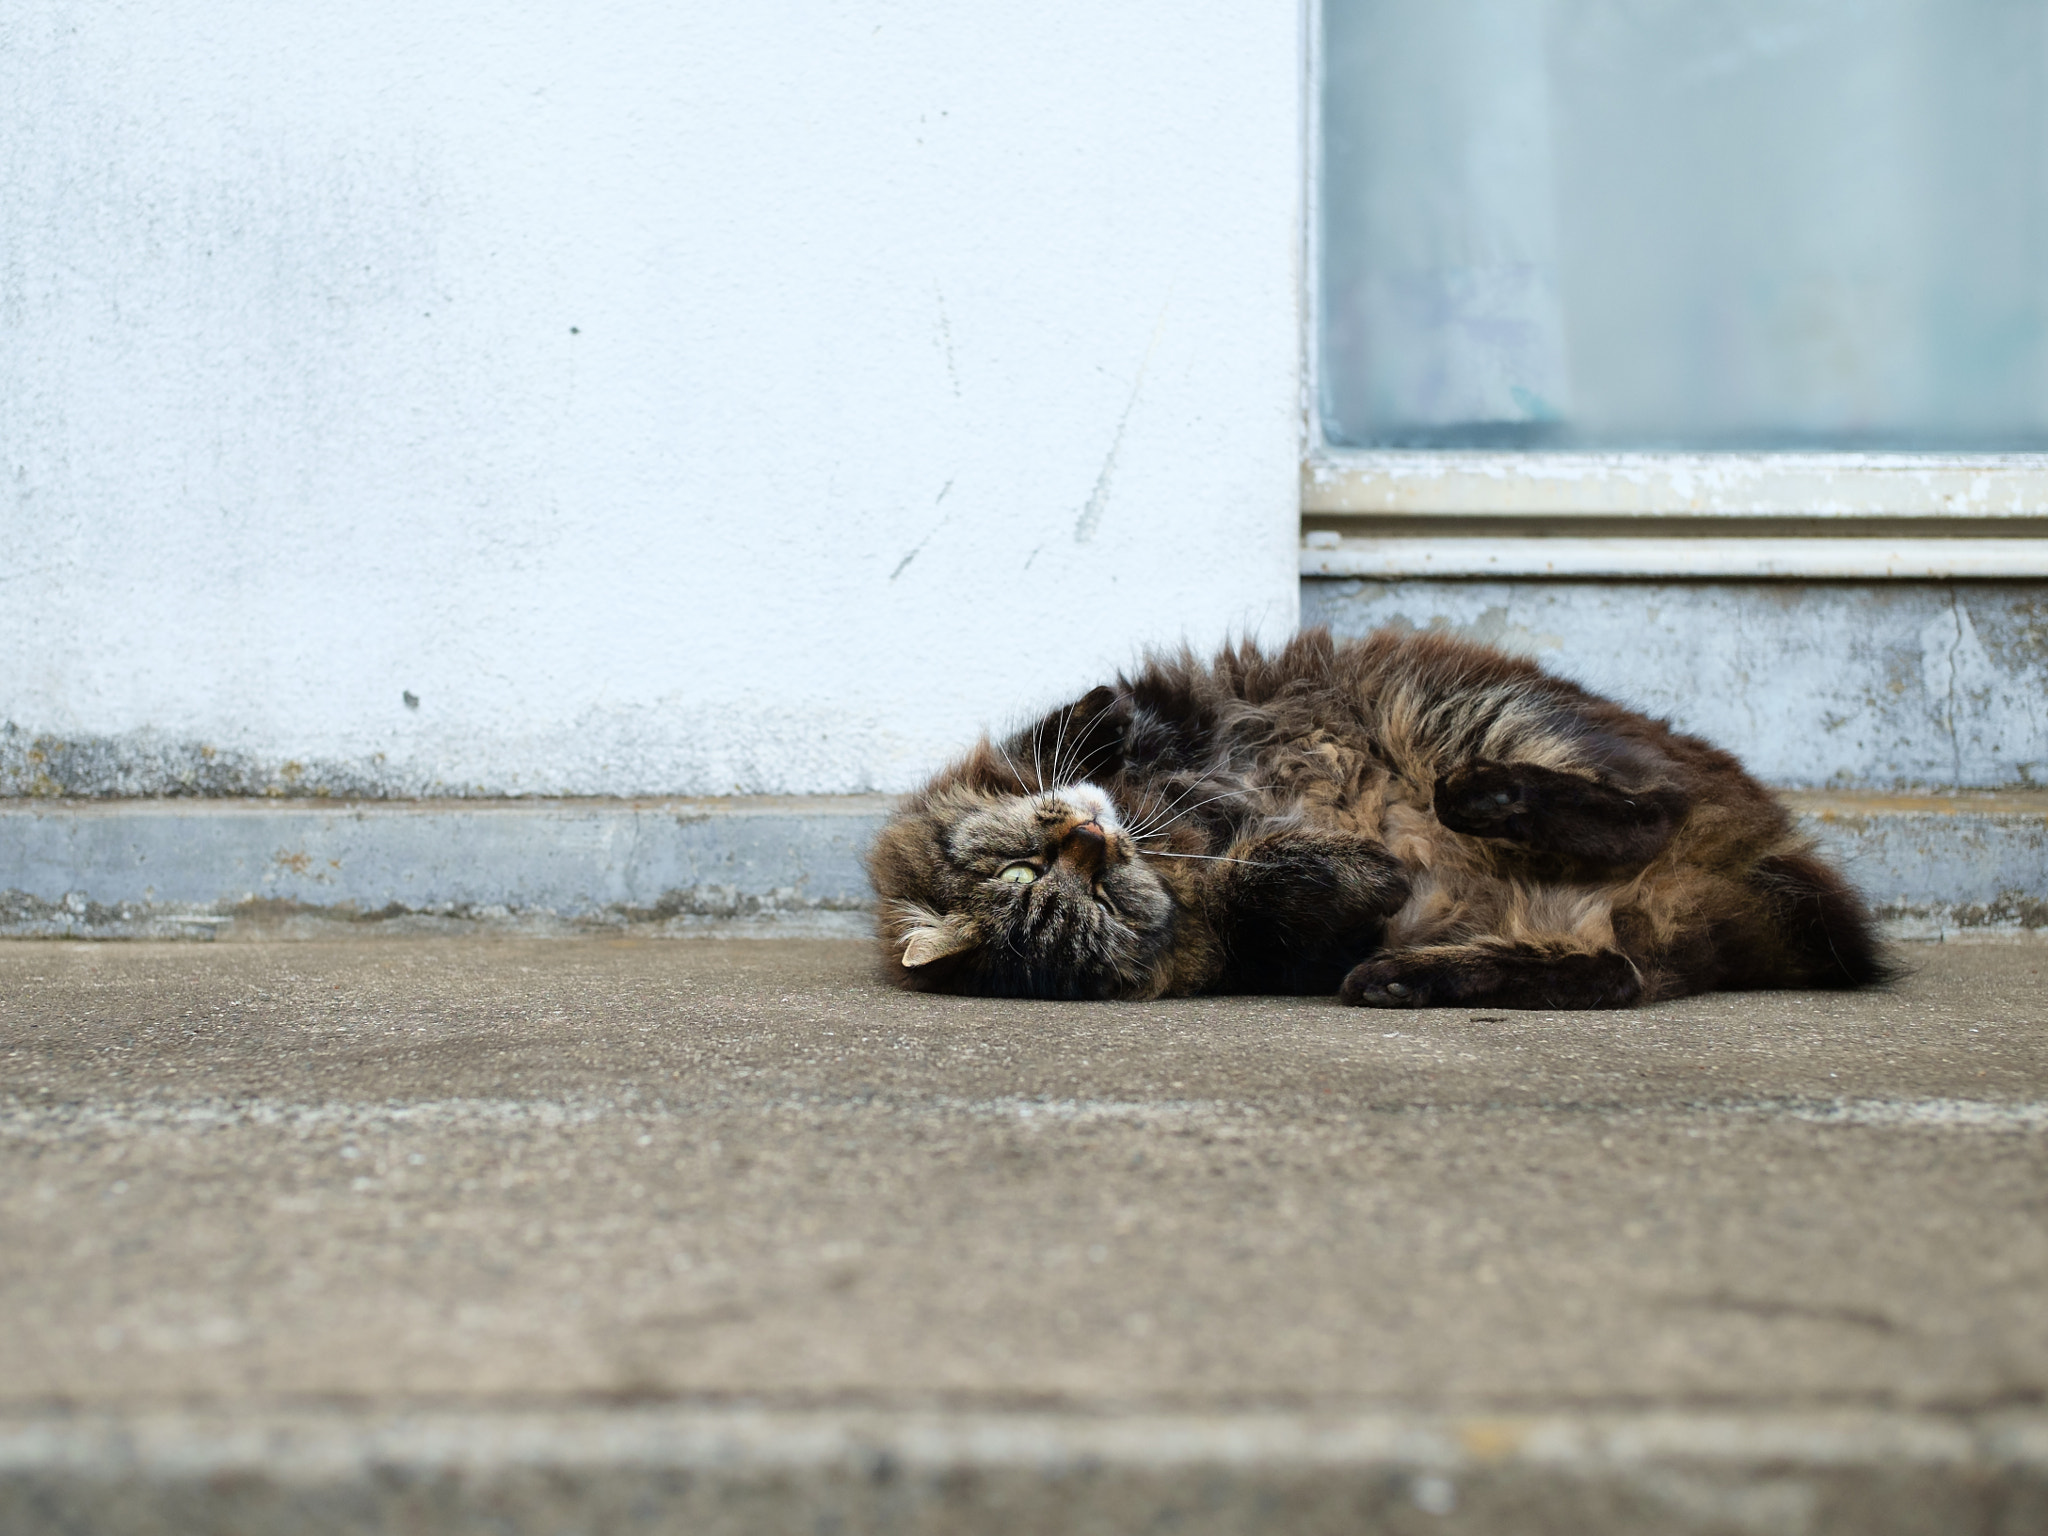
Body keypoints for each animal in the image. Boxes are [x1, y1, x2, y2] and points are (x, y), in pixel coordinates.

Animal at [864, 626, 1884, 1011]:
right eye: (1093, 900)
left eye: (1023, 871)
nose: (1088, 838)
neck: (1173, 840)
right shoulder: (1265, 943)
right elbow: (1277, 885)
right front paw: (1356, 867)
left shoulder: (1162, 728)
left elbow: (1089, 727)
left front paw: (1100, 728)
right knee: (1614, 970)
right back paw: (1401, 976)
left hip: (1467, 710)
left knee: (1651, 809)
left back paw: (1486, 803)